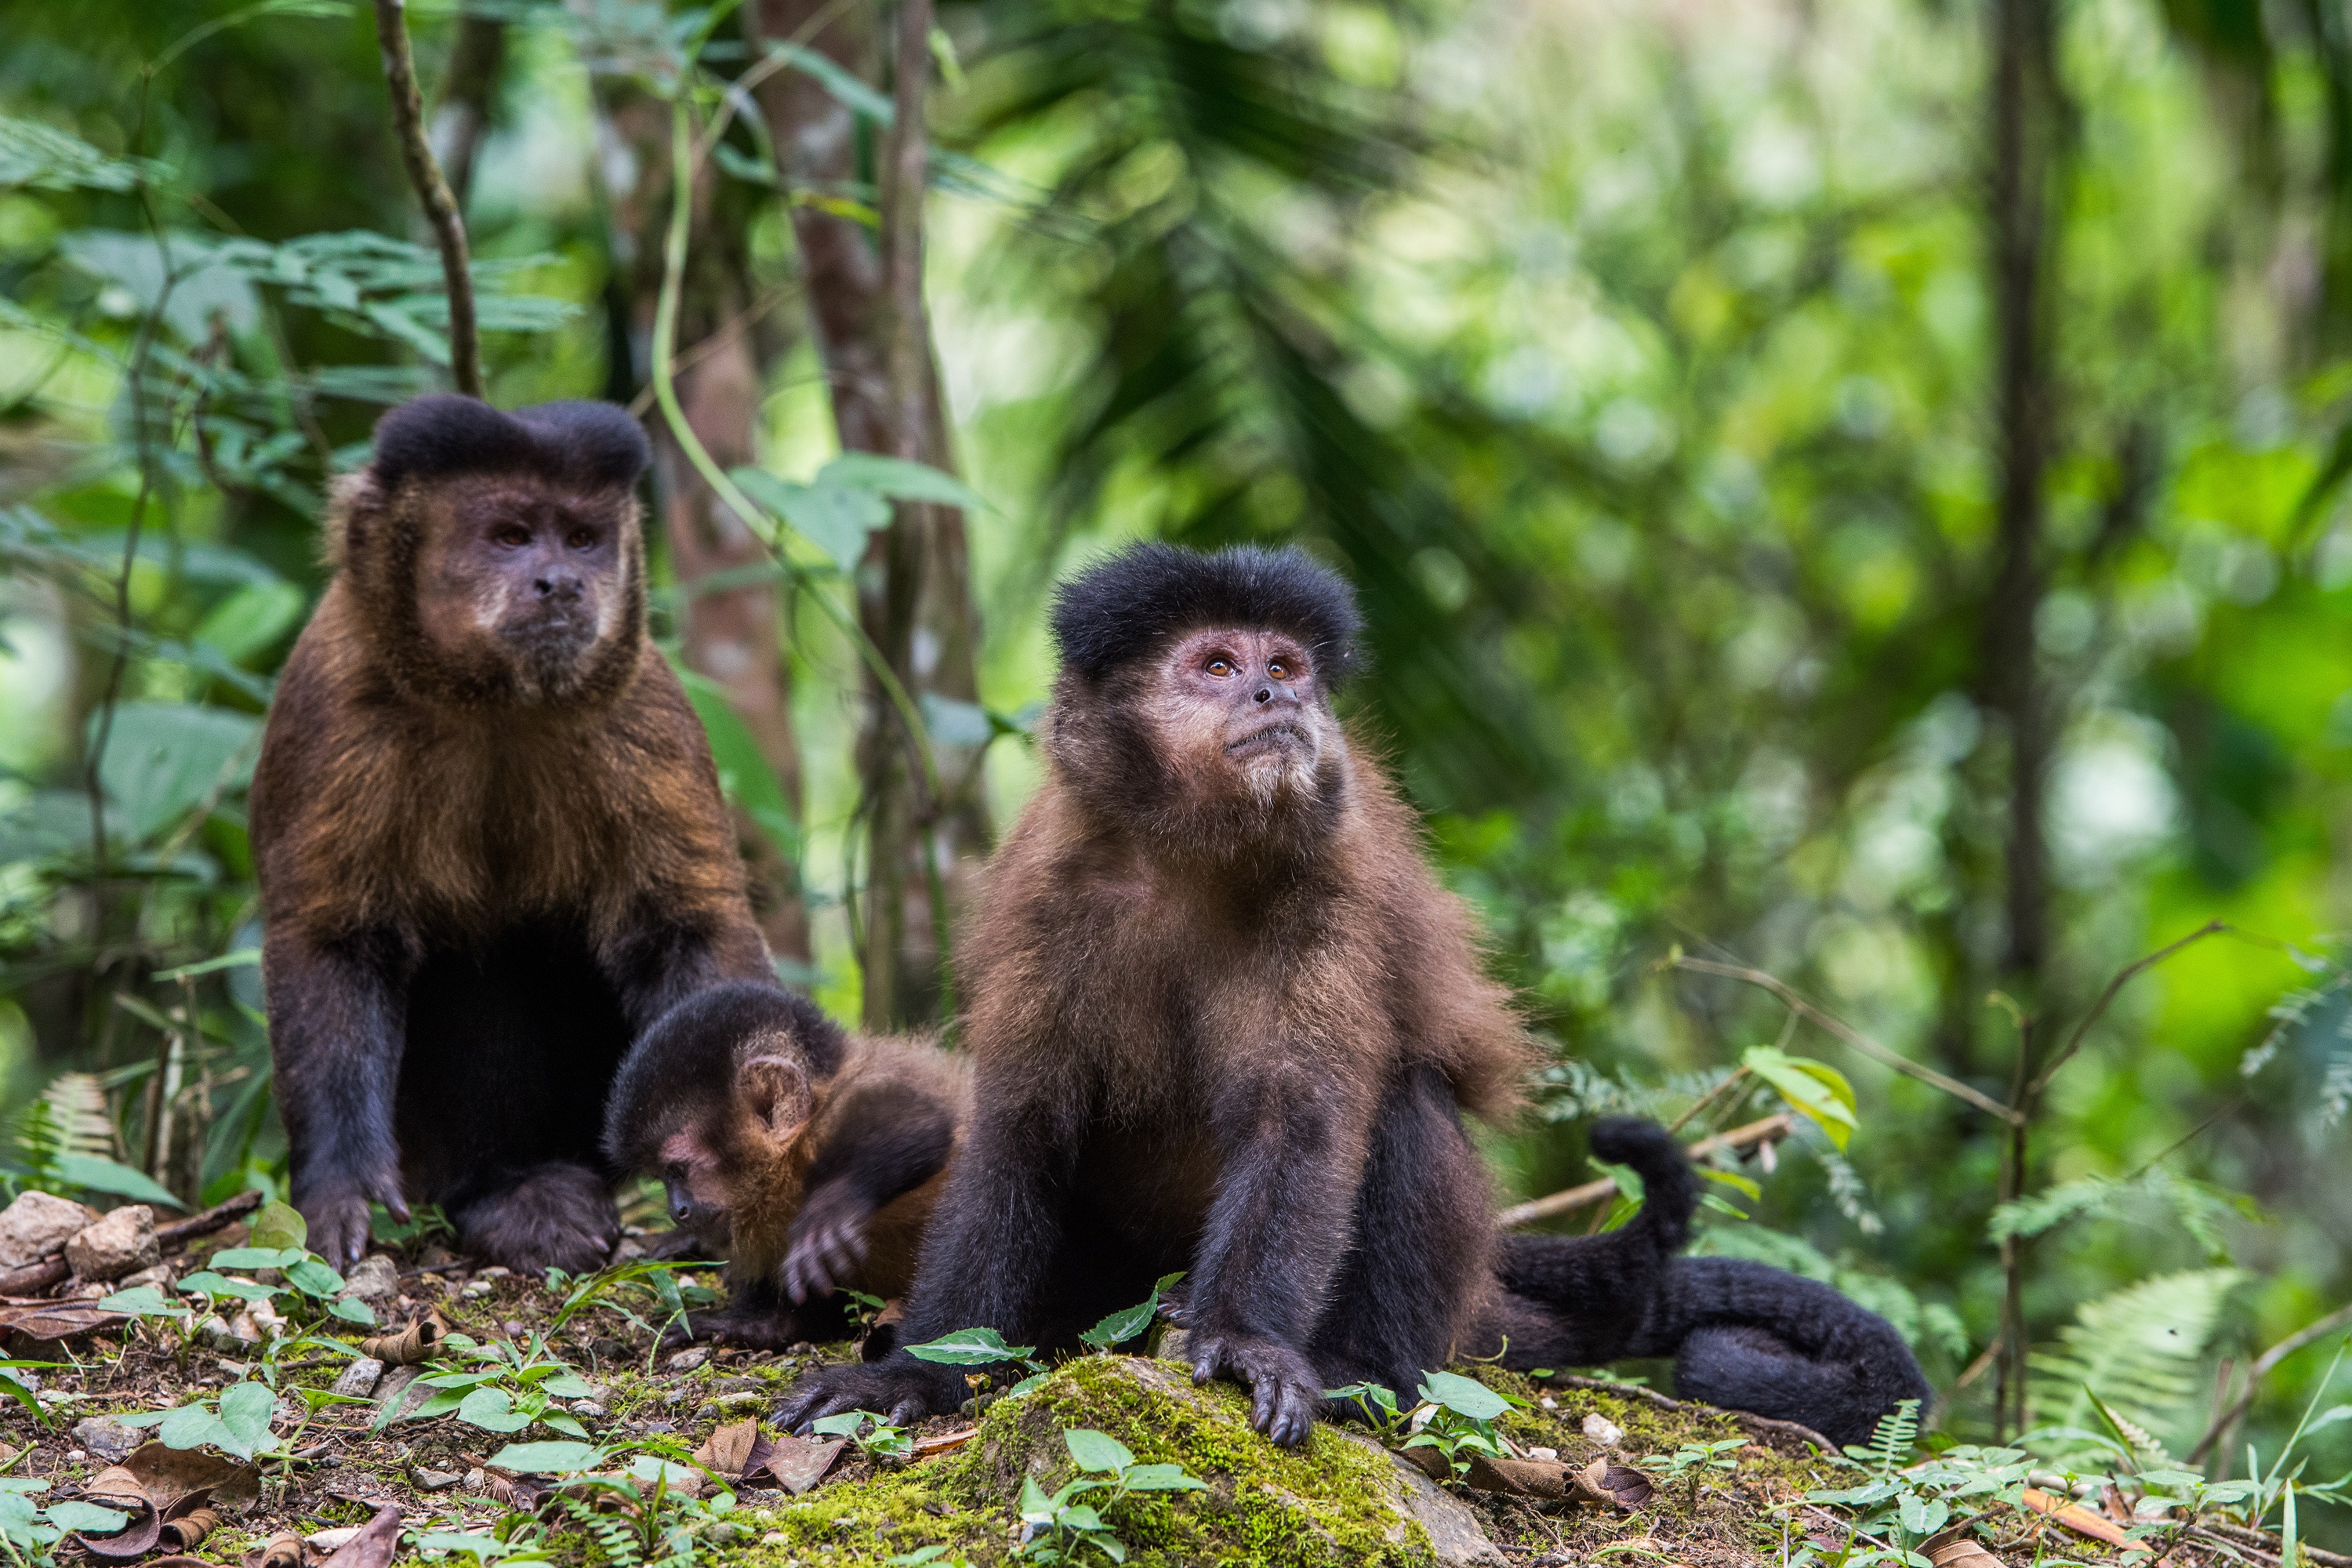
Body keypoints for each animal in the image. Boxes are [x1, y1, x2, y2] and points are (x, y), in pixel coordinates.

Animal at [256, 392, 771, 1279]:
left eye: (582, 538)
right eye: (510, 535)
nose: (561, 582)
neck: (497, 702)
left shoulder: (644, 710)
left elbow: (686, 930)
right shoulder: (331, 706)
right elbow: (334, 939)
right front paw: (338, 1186)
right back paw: (503, 1195)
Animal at [607, 987, 974, 1354]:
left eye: (679, 1170)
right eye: (661, 1178)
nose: (676, 1210)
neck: (791, 1171)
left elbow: (926, 1118)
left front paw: (834, 1200)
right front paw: (746, 1324)